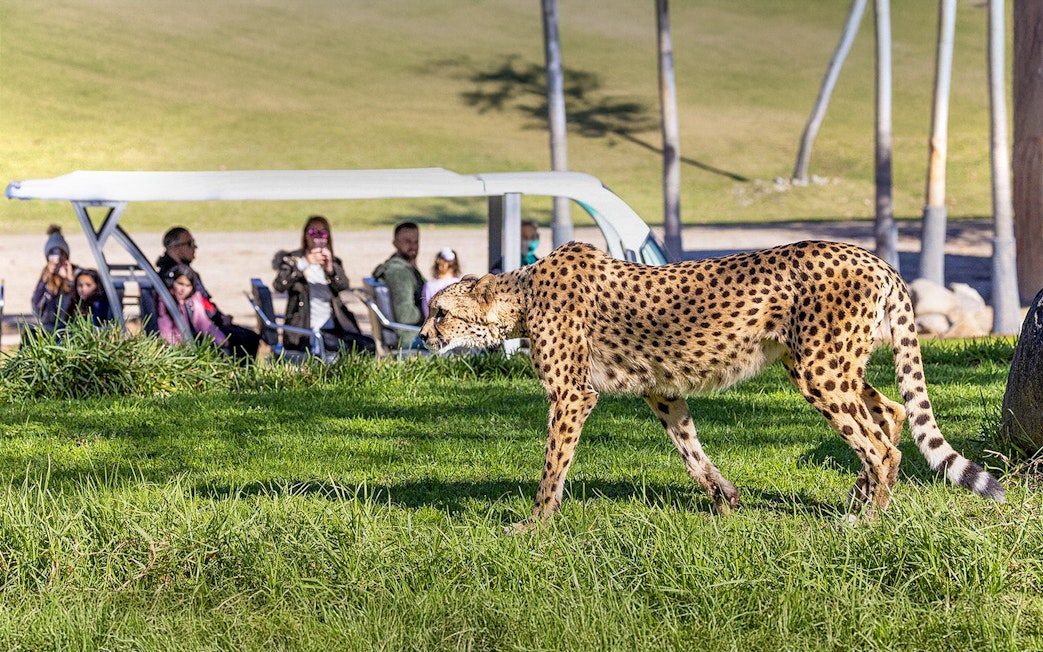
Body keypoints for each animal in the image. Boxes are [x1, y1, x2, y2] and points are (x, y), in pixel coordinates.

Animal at [419, 240, 1005, 530]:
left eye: (441, 311)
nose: (423, 336)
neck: (520, 295)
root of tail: (873, 256)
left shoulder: (572, 394)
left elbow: (552, 465)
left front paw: (534, 526)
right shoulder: (662, 389)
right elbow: (690, 449)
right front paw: (725, 500)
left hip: (818, 368)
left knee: (881, 443)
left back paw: (867, 519)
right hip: (826, 363)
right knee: (890, 413)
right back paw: (859, 496)